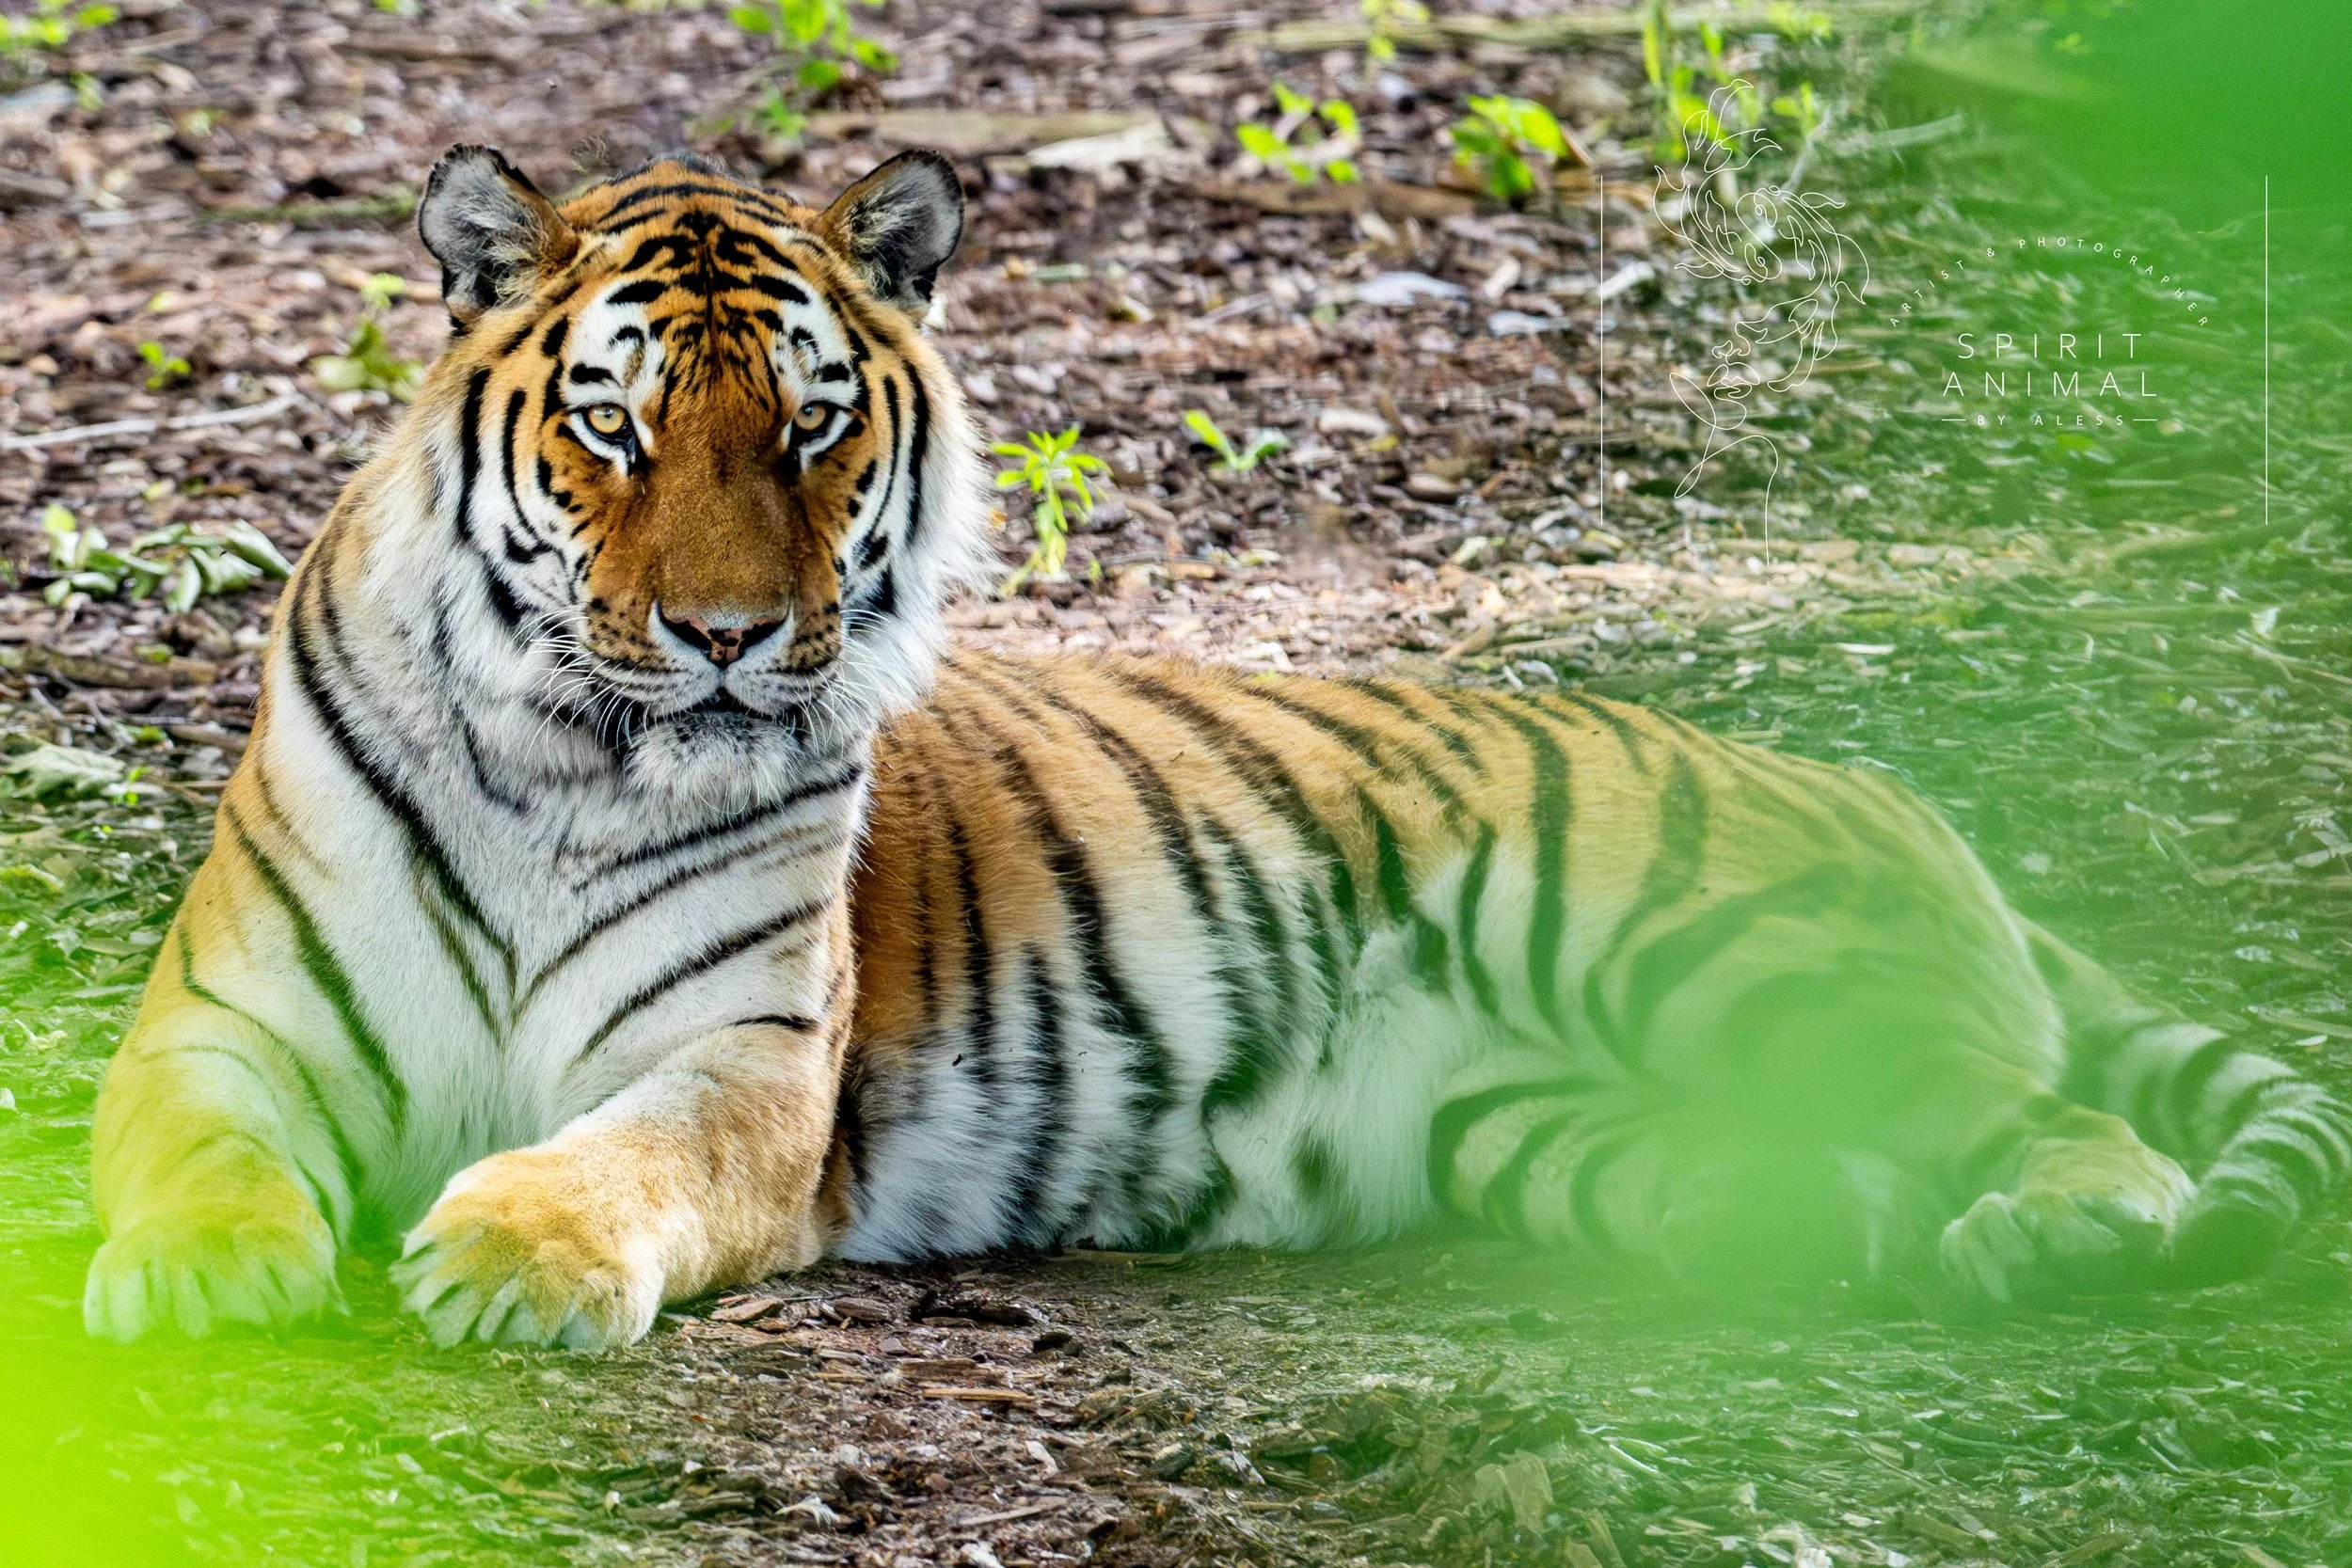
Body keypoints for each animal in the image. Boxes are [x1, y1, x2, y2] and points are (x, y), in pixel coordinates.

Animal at [85, 148, 2349, 1350]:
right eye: (616, 426)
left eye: (809, 427)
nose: (727, 639)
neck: (570, 755)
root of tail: (1875, 785)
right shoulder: (218, 1022)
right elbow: (191, 1144)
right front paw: (197, 1276)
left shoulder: (739, 1072)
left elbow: (618, 1152)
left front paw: (509, 1250)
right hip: (1557, 1115)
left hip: (1703, 949)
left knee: (2065, 1120)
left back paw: (2061, 1224)